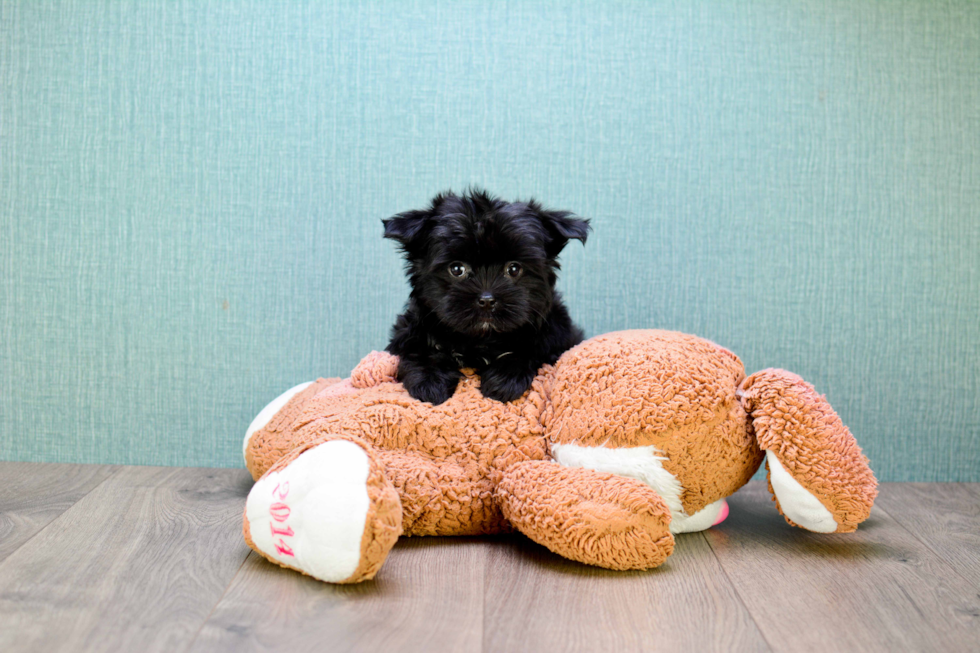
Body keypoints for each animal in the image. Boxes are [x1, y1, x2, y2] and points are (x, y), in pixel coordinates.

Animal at [382, 187, 588, 402]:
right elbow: (418, 350)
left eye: (514, 269)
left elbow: (530, 351)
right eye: (457, 269)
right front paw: (430, 381)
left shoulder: (557, 336)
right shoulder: (410, 331)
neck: (481, 339)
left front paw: (505, 379)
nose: (487, 300)